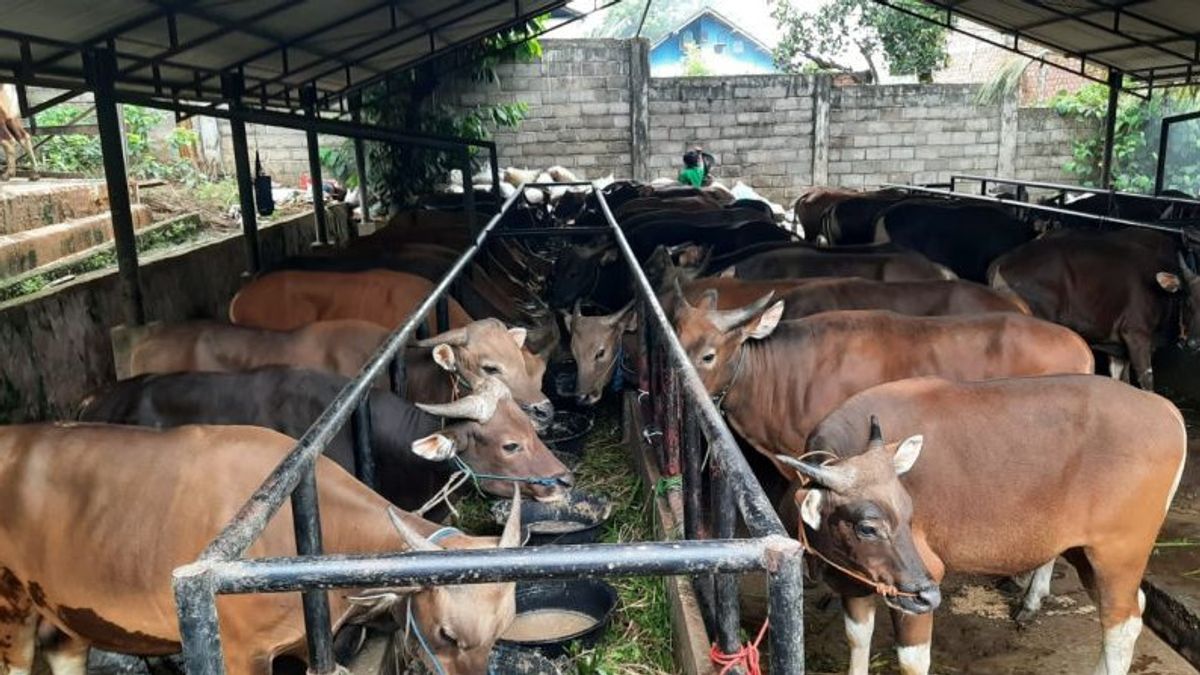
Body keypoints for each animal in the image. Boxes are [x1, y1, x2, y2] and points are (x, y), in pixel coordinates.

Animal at [0, 422, 525, 667]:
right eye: (448, 636)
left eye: (502, 631)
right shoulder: (241, 653)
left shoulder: (308, 643)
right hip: (12, 614)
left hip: (64, 614)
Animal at [777, 372, 1180, 672]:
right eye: (867, 527)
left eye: (909, 512)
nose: (926, 593)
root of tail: (1165, 408)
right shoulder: (856, 583)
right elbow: (857, 641)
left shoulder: (925, 577)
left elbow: (912, 661)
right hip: (1085, 552)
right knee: (1132, 608)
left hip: (1118, 553)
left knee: (1121, 623)